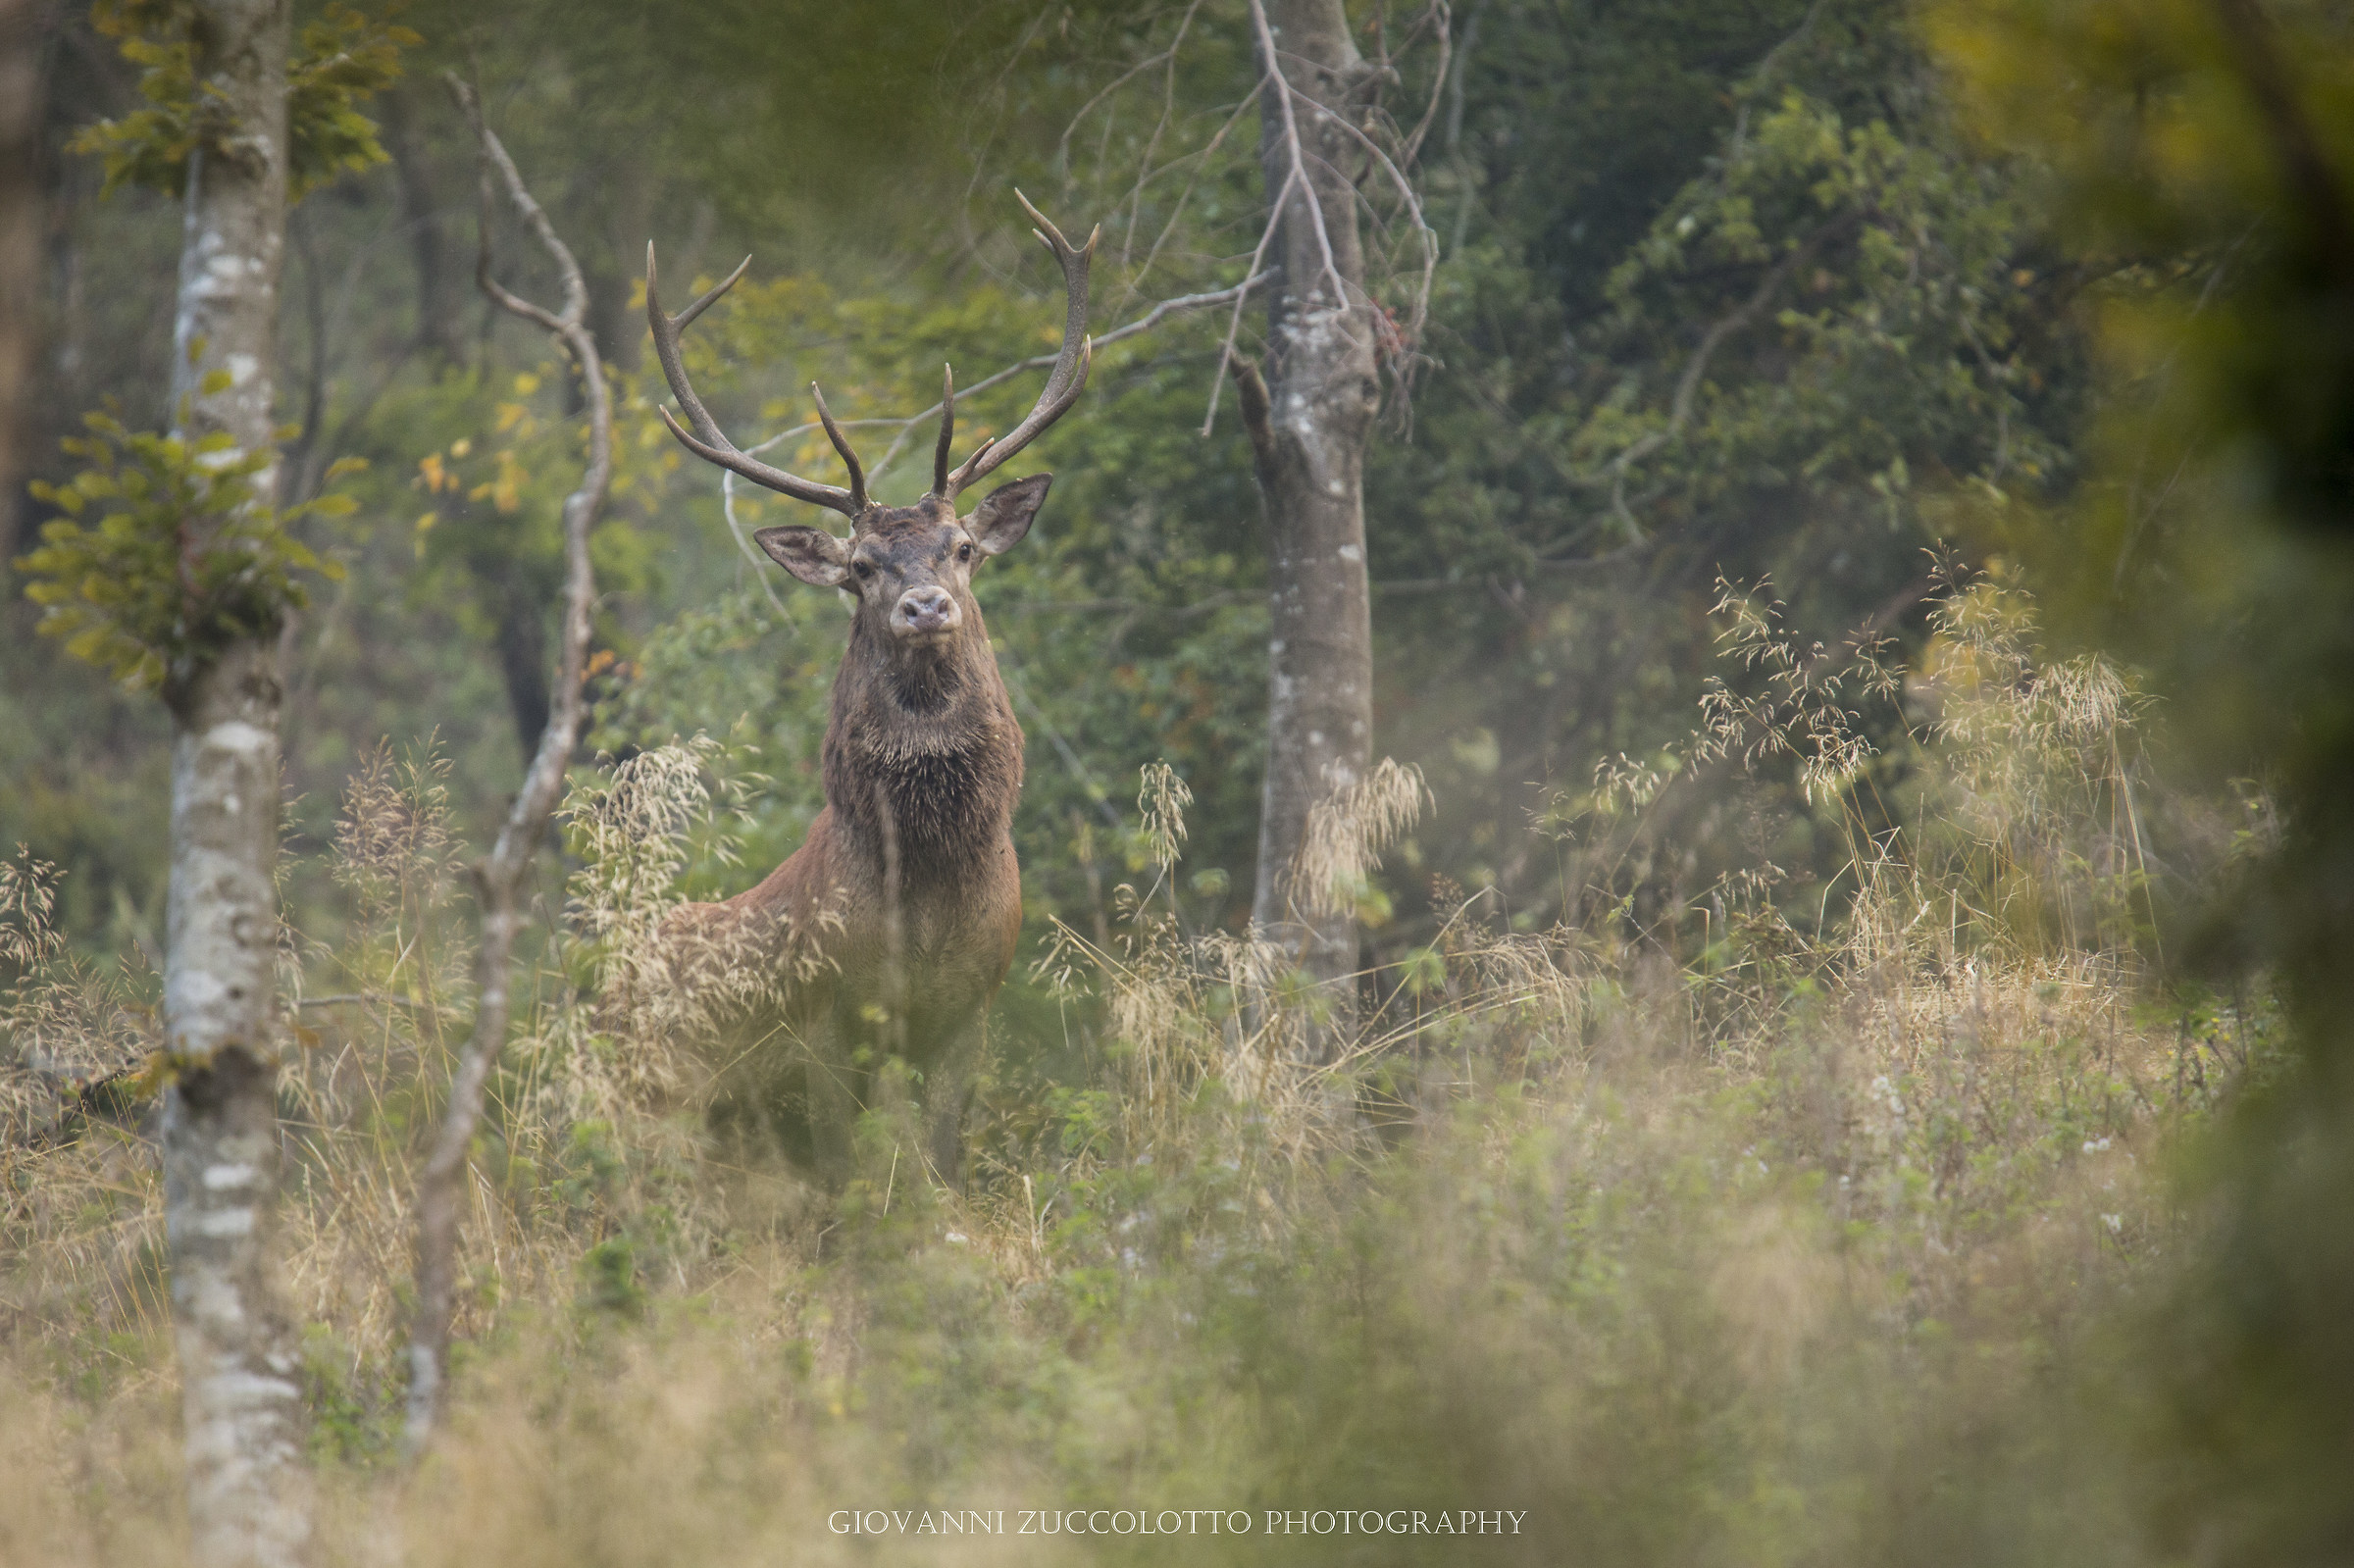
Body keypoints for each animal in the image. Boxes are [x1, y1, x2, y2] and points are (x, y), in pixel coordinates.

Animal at [643, 194, 1094, 1191]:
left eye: (961, 547)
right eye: (860, 566)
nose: (924, 604)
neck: (923, 894)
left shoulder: (973, 1005)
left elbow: (944, 1155)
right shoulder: (825, 1015)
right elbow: (848, 1173)